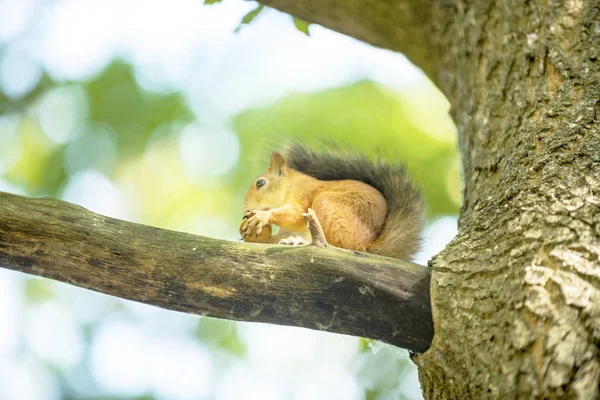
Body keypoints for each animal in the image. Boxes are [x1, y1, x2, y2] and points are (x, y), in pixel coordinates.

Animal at [237, 142, 424, 260]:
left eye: (261, 183)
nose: (246, 210)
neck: (291, 185)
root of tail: (367, 245)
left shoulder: (303, 195)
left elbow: (296, 215)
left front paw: (262, 216)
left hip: (328, 205)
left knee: (339, 245)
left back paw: (300, 241)